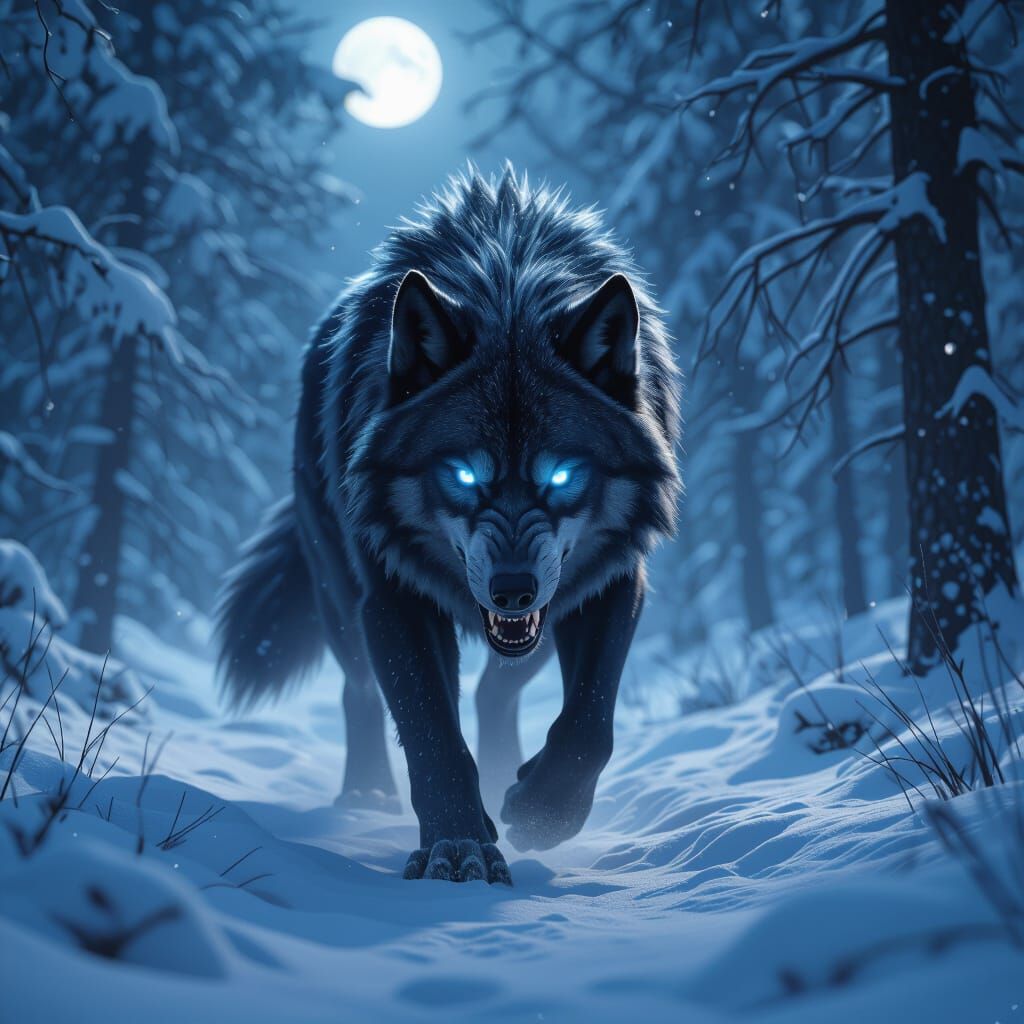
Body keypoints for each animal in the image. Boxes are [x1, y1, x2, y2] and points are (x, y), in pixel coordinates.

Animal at [216, 166, 681, 885]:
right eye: (462, 475)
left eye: (562, 476)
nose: (513, 591)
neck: (509, 284)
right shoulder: (392, 595)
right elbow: (430, 730)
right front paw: (458, 847)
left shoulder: (609, 580)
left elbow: (590, 723)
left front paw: (541, 811)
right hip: (341, 604)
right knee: (359, 691)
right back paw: (366, 793)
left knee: (496, 694)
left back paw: (503, 772)